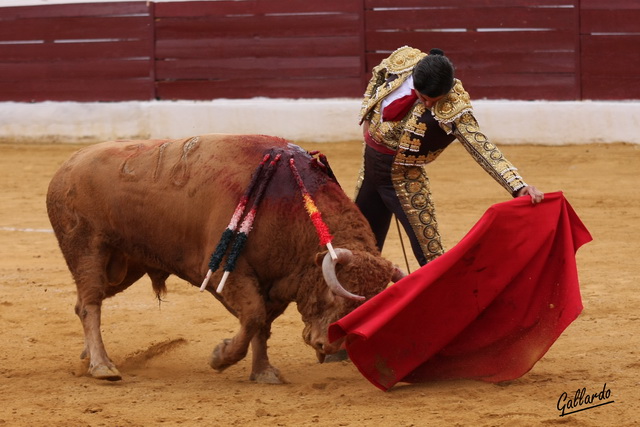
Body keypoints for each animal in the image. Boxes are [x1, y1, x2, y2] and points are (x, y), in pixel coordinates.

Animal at [47, 134, 402, 384]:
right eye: (333, 295)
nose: (331, 348)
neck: (287, 205)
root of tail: (67, 166)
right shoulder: (223, 272)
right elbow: (253, 317)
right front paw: (221, 357)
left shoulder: (273, 281)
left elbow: (261, 325)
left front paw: (263, 372)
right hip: (87, 249)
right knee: (89, 303)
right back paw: (102, 366)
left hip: (125, 265)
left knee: (85, 302)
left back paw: (88, 356)